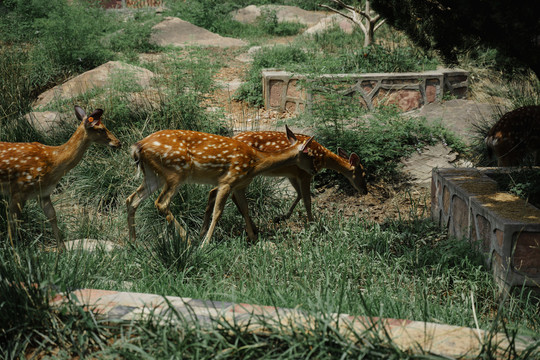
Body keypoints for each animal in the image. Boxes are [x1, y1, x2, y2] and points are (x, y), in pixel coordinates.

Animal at [0, 105, 121, 249]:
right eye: (101, 129)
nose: (118, 143)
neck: (53, 162)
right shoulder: (18, 190)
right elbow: (13, 220)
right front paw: (14, 248)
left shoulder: (43, 193)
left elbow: (52, 215)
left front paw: (62, 249)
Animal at [125, 125, 314, 246]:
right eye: (310, 154)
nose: (314, 170)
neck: (256, 162)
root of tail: (138, 147)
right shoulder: (227, 180)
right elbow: (218, 212)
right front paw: (206, 243)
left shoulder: (239, 185)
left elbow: (245, 209)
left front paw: (253, 238)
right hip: (175, 172)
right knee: (161, 202)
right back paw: (188, 239)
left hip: (153, 175)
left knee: (131, 200)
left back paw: (133, 242)